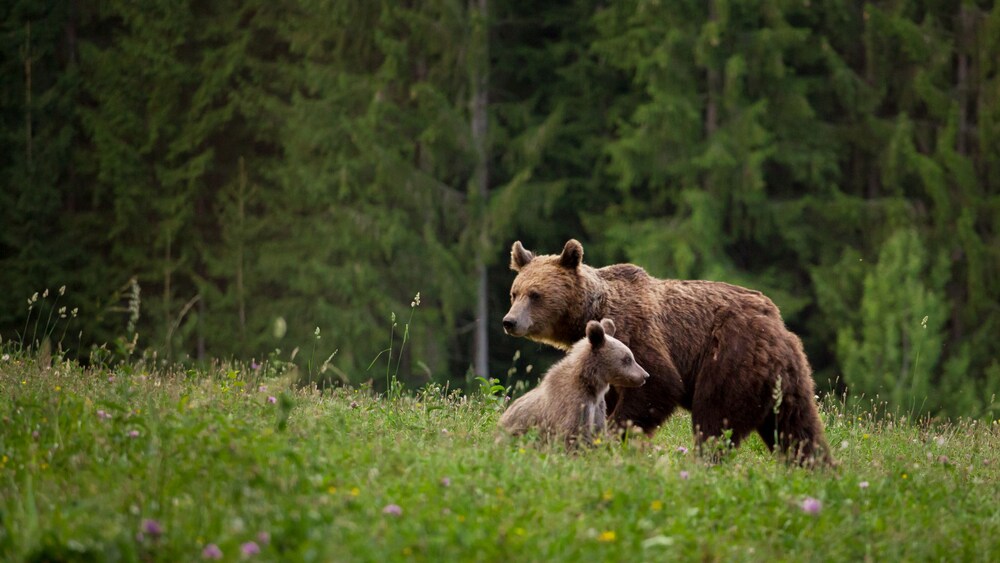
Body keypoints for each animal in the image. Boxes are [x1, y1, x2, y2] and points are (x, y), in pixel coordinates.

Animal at [499, 318, 649, 446]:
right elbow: (572, 435)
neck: (591, 384)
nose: (645, 375)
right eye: (627, 359)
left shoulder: (598, 408)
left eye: (631, 356)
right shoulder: (574, 404)